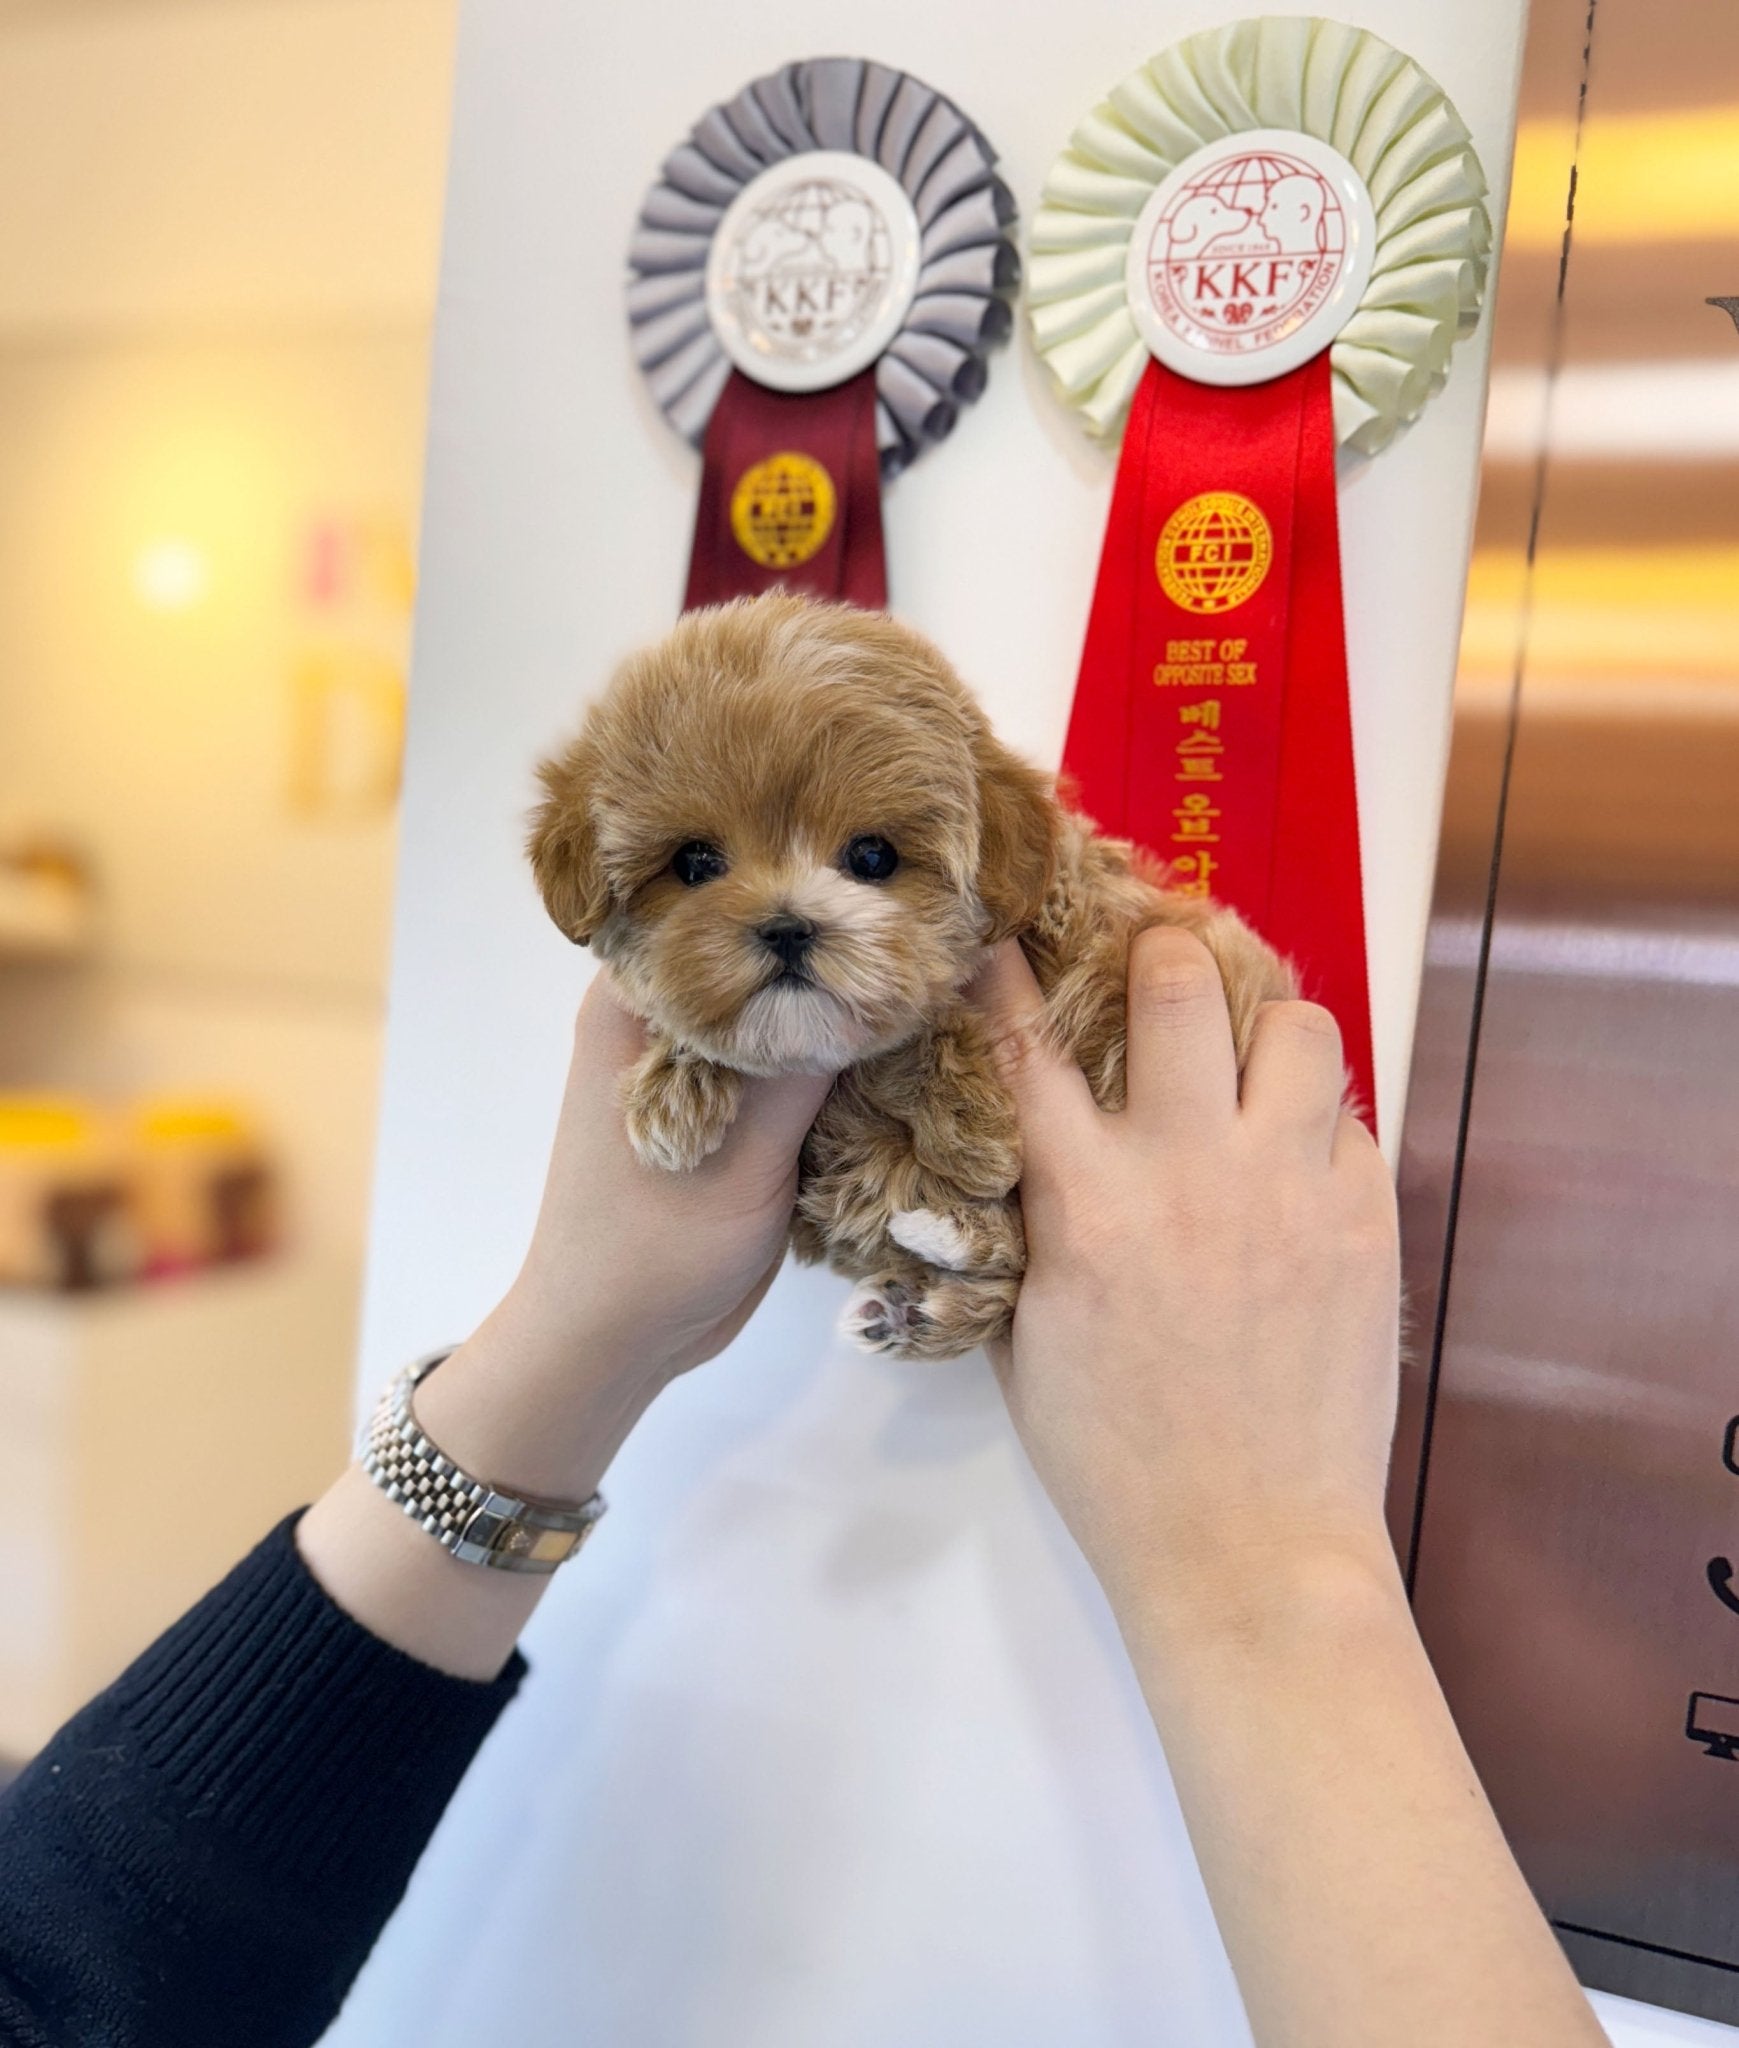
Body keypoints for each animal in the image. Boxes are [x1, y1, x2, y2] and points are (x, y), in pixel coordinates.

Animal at [528, 593, 1286, 1359]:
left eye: (872, 857)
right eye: (693, 863)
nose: (787, 926)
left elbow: (945, 1021)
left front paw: (971, 1131)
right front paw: (674, 1090)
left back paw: (945, 1243)